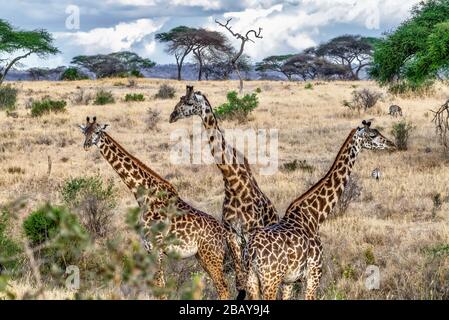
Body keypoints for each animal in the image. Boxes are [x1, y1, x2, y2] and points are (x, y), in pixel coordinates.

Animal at [77, 115, 229, 300]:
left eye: (98, 132)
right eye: (85, 131)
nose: (86, 145)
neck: (144, 196)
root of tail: (224, 233)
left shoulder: (156, 247)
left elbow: (160, 286)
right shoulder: (148, 248)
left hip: (211, 256)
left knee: (223, 288)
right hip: (201, 256)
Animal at [169, 85, 278, 292]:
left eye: (188, 102)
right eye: (179, 100)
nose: (172, 116)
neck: (233, 181)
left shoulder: (250, 233)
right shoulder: (231, 234)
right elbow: (240, 280)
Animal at [238, 120, 396, 300]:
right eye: (373, 135)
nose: (392, 144)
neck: (315, 216)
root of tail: (252, 250)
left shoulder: (289, 281)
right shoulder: (314, 274)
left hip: (251, 278)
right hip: (270, 279)